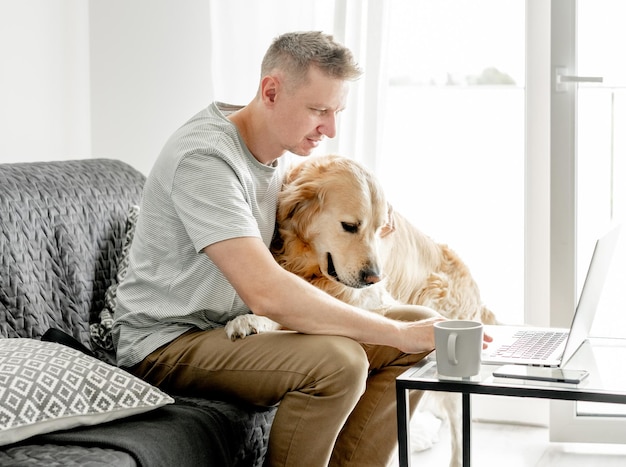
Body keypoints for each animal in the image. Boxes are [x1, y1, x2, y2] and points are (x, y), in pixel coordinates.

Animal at [227, 154, 494, 467]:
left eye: (380, 230)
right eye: (350, 226)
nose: (374, 277)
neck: (309, 265)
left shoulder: (370, 299)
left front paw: (252, 320)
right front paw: (250, 320)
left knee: (458, 421)